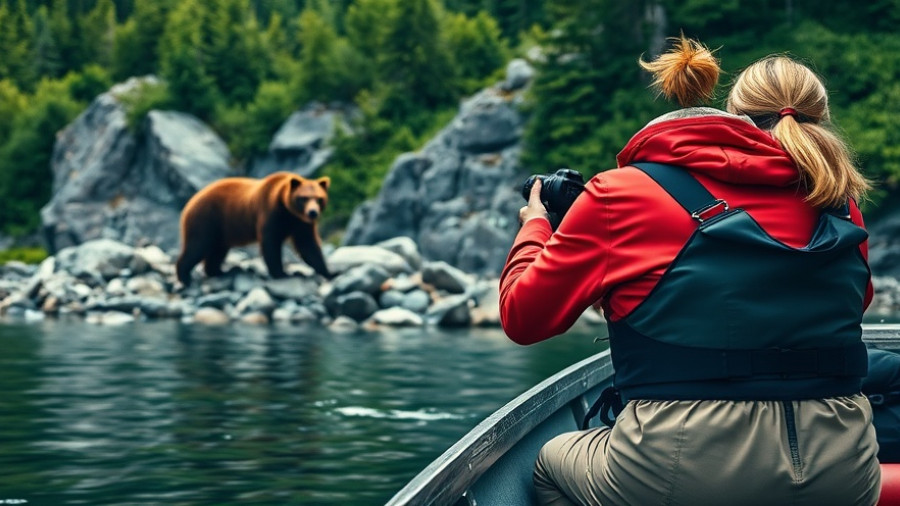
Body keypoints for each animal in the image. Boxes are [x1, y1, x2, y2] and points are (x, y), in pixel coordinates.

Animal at [176, 172, 333, 286]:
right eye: (304, 198)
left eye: (319, 198)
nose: (312, 212)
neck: (287, 209)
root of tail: (190, 202)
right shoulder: (270, 212)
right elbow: (271, 243)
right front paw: (282, 273)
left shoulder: (300, 223)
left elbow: (308, 246)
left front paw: (328, 272)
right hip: (207, 219)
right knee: (197, 246)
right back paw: (185, 277)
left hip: (221, 230)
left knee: (217, 251)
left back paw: (219, 271)